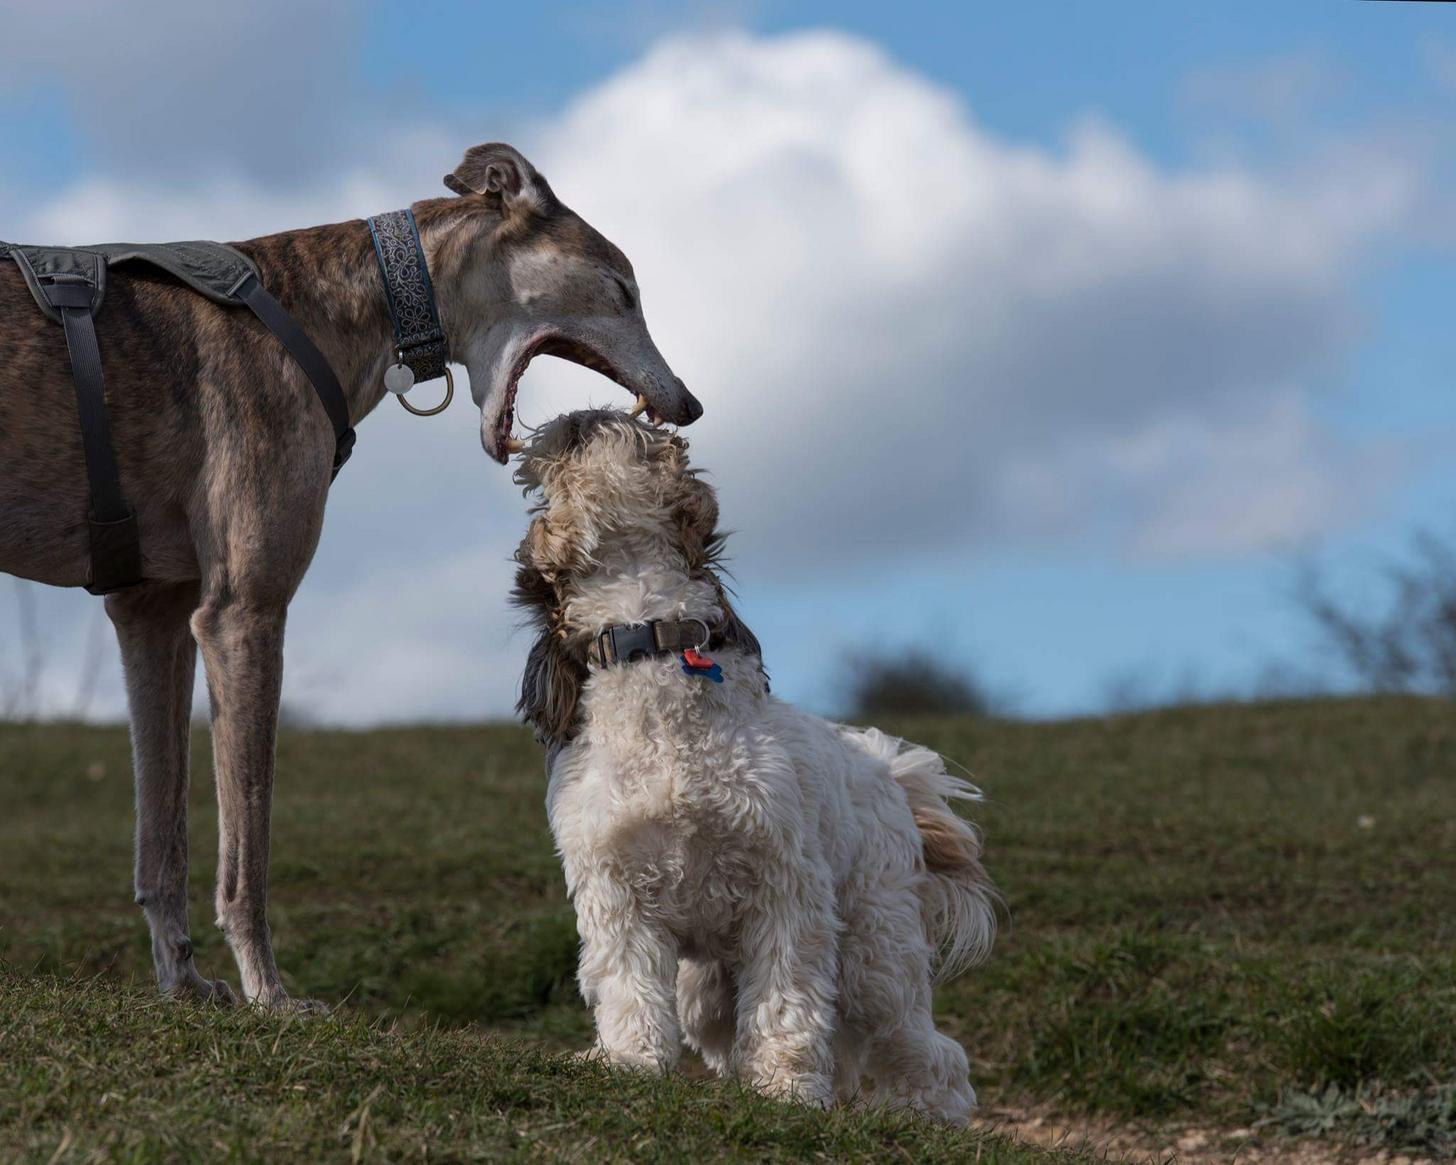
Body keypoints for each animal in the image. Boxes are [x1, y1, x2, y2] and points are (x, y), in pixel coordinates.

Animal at [512, 407, 1001, 1118]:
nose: (580, 413)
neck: (649, 638)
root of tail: (889, 771)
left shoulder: (786, 893)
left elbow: (786, 1004)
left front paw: (787, 1091)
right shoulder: (616, 894)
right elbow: (629, 990)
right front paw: (631, 1064)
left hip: (873, 953)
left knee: (926, 1047)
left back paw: (927, 1114)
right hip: (706, 989)